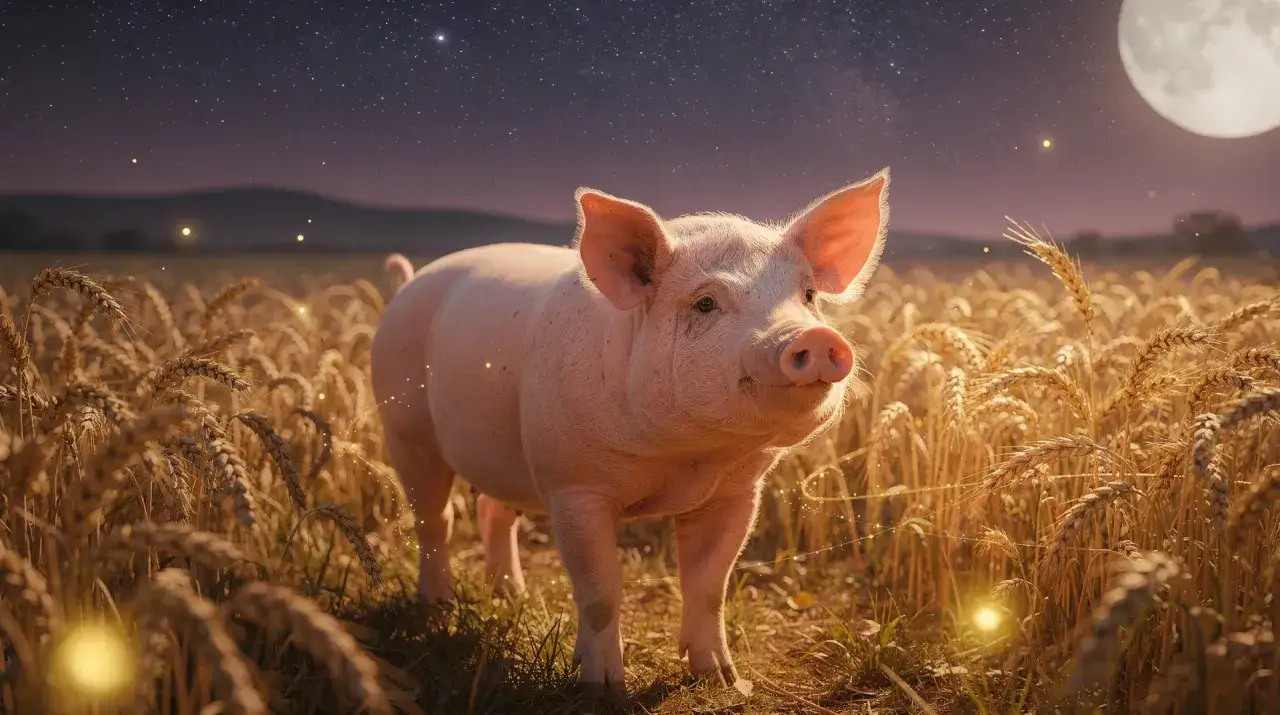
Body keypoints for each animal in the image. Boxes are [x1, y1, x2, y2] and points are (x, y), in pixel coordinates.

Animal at [370, 168, 890, 692]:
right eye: (705, 303)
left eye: (808, 295)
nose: (815, 336)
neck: (687, 459)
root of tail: (409, 284)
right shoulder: (574, 486)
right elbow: (601, 591)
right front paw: (603, 688)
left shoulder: (738, 492)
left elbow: (709, 586)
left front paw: (723, 680)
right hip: (404, 426)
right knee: (434, 519)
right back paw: (437, 606)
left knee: (493, 510)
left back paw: (511, 595)